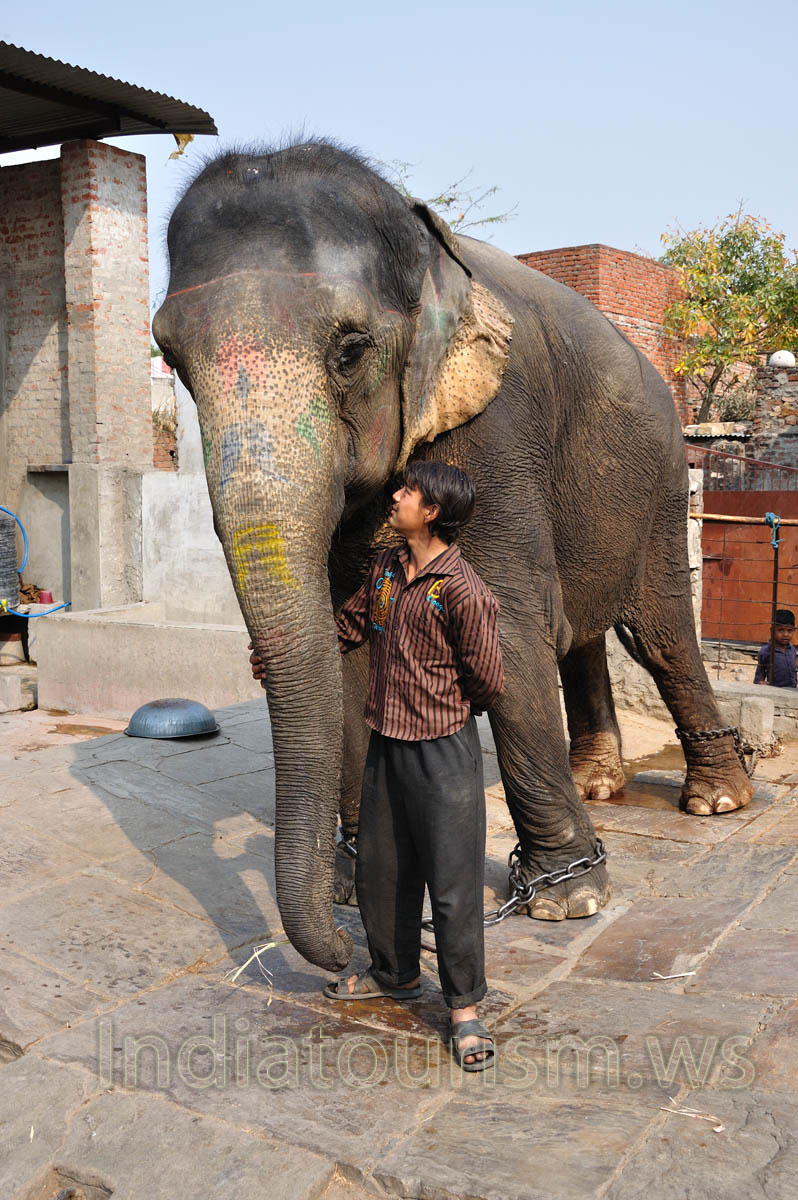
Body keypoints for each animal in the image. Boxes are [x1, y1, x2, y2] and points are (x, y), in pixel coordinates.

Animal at [153, 139, 753, 973]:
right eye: (170, 358)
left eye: (350, 350)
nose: (343, 953)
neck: (421, 241)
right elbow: (350, 640)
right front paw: (356, 886)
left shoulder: (495, 425)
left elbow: (505, 621)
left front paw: (569, 902)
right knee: (580, 634)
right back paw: (598, 782)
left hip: (662, 483)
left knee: (657, 633)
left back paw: (716, 799)